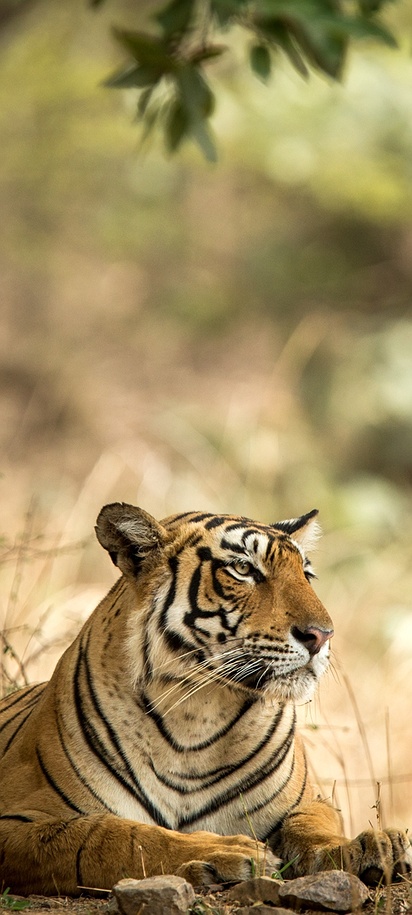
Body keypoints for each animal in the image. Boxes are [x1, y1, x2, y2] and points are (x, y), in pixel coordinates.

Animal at [0, 502, 410, 897]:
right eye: (243, 569)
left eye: (307, 576)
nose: (322, 635)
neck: (197, 711)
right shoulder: (15, 820)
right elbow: (114, 835)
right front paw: (225, 851)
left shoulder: (308, 801)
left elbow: (312, 825)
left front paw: (370, 846)